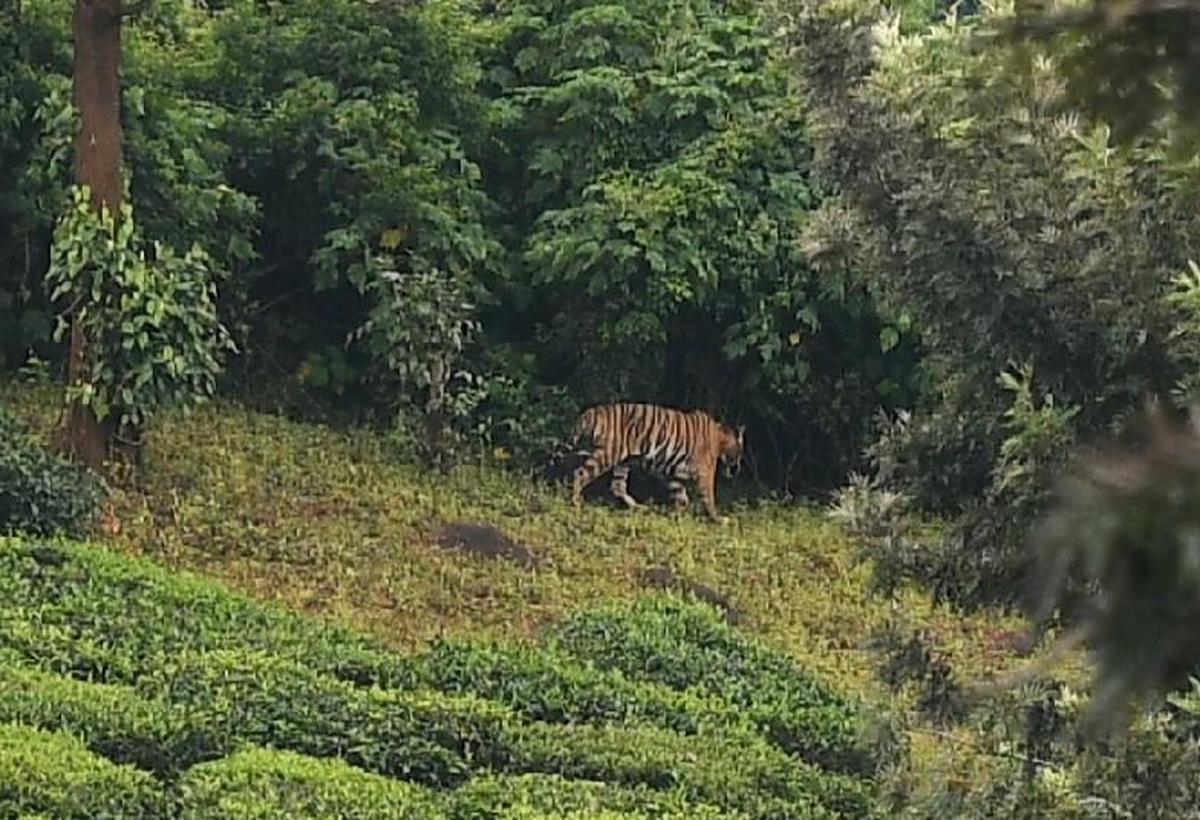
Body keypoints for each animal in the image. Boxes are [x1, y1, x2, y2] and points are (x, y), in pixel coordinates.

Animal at [568, 402, 745, 521]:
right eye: (740, 453)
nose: (737, 468)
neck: (720, 439)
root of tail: (590, 412)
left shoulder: (676, 474)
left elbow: (681, 497)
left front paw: (675, 515)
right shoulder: (705, 472)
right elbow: (709, 498)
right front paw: (718, 519)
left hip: (623, 462)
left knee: (617, 486)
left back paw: (640, 507)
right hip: (608, 455)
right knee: (580, 473)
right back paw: (576, 503)